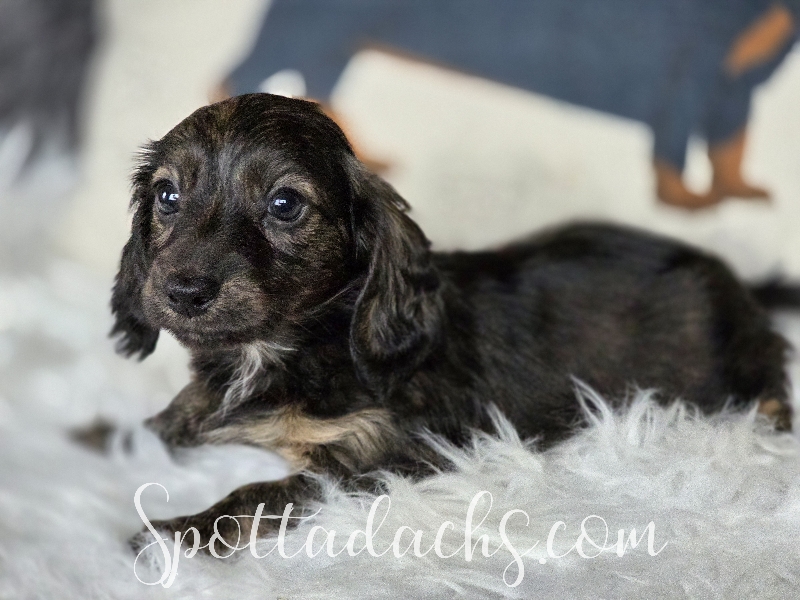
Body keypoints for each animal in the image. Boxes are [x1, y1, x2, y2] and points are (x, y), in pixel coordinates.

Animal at [113, 93, 793, 547]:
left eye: (285, 204)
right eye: (167, 196)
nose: (183, 290)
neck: (281, 349)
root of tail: (735, 280)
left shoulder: (374, 456)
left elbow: (255, 494)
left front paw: (174, 531)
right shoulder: (201, 409)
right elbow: (160, 425)